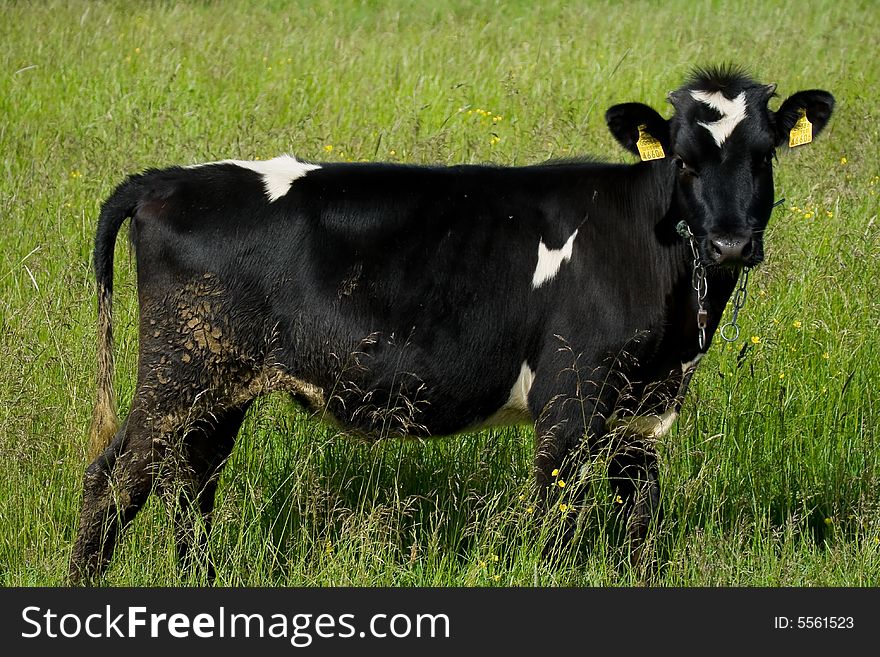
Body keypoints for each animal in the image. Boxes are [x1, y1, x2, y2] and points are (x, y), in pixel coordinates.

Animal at [69, 65, 832, 580]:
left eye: (764, 153)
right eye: (684, 159)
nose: (731, 244)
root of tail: (165, 179)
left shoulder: (640, 413)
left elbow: (640, 525)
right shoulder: (570, 401)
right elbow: (555, 528)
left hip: (219, 386)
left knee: (190, 483)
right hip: (180, 371)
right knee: (115, 477)